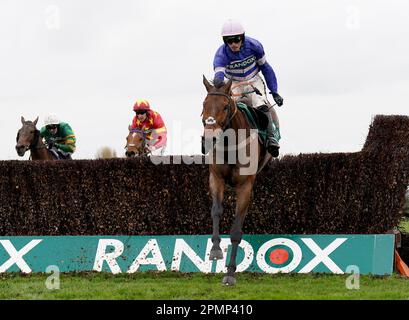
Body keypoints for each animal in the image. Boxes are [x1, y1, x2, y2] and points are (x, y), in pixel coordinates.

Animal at [202, 76, 270, 286]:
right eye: (204, 104)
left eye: (225, 107)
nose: (210, 137)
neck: (230, 146)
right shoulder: (215, 178)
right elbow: (216, 211)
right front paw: (215, 250)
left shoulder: (245, 187)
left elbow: (236, 231)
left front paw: (230, 273)